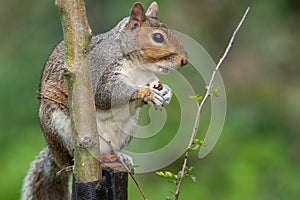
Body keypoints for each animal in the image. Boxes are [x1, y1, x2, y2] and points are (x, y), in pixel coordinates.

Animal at [21, 1, 188, 200]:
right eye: (157, 37)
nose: (184, 61)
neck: (138, 66)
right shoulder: (98, 72)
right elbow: (104, 94)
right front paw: (145, 93)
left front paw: (166, 92)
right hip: (58, 127)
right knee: (69, 161)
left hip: (126, 129)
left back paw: (119, 158)